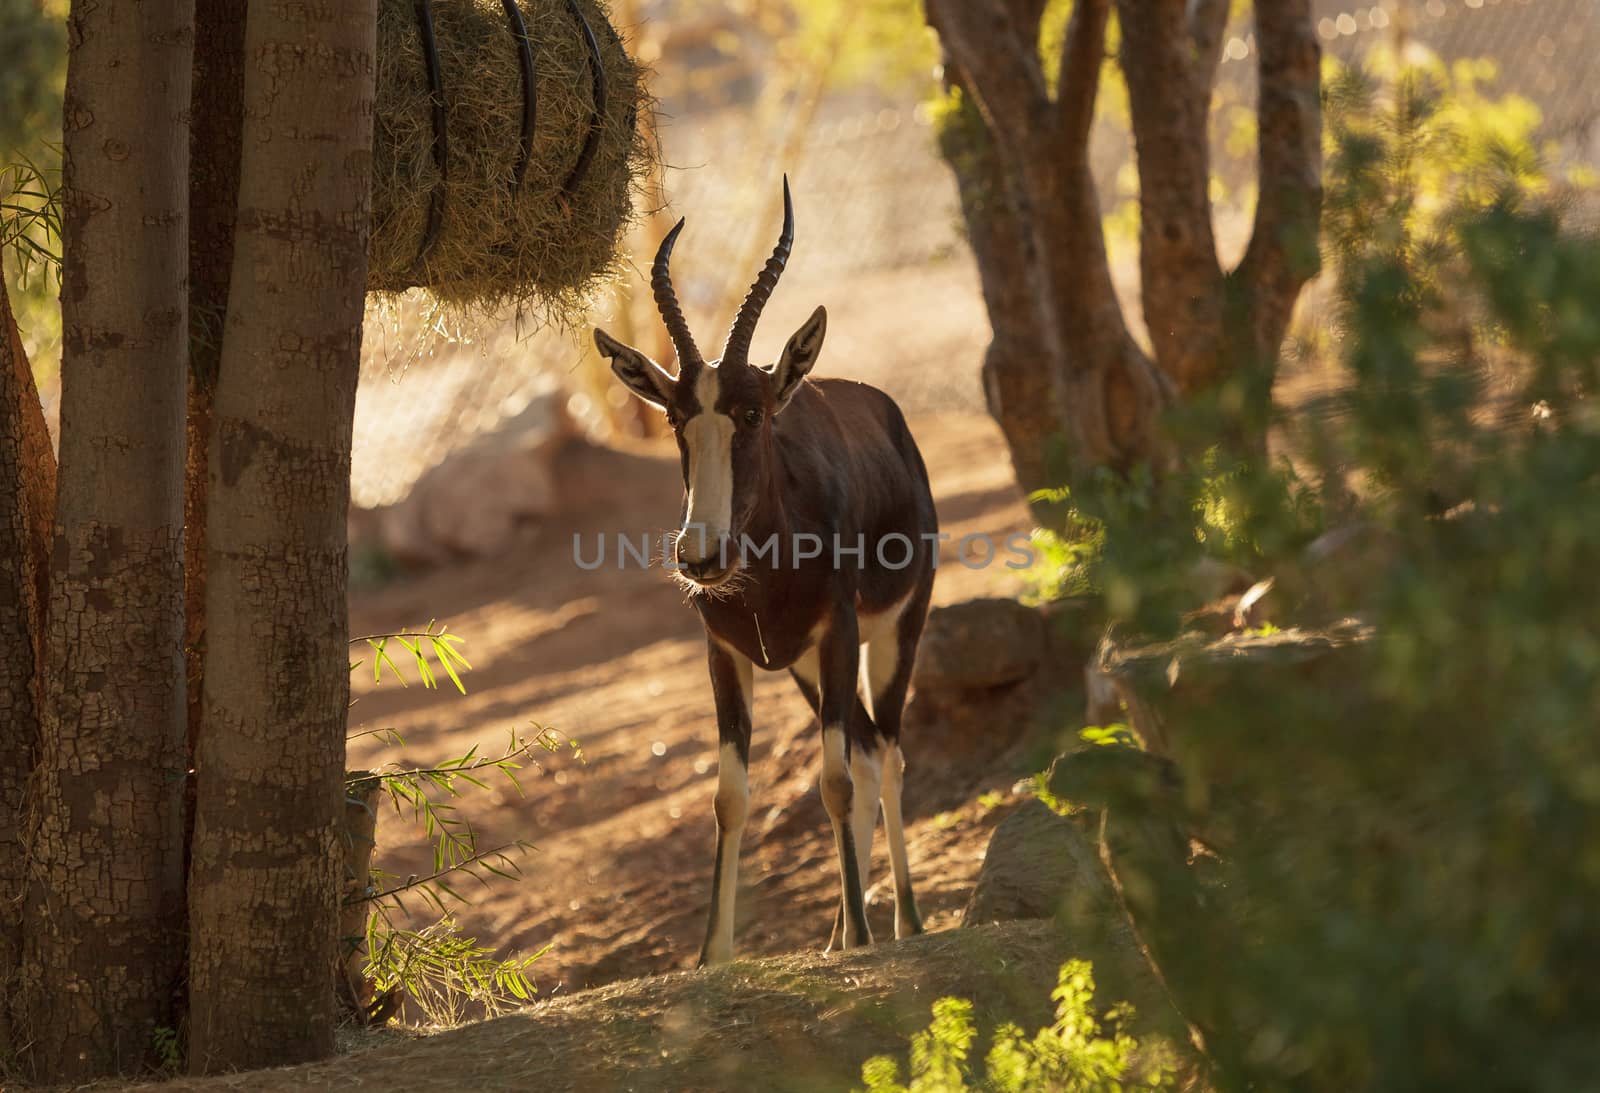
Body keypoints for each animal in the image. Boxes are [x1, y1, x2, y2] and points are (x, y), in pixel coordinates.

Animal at [598, 179, 934, 966]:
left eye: (752, 414)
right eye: (677, 418)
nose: (700, 557)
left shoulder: (839, 634)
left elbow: (835, 782)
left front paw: (866, 938)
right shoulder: (726, 655)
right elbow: (730, 796)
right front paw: (711, 956)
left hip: (891, 635)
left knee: (887, 753)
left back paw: (900, 923)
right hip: (808, 669)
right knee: (866, 751)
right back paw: (841, 930)